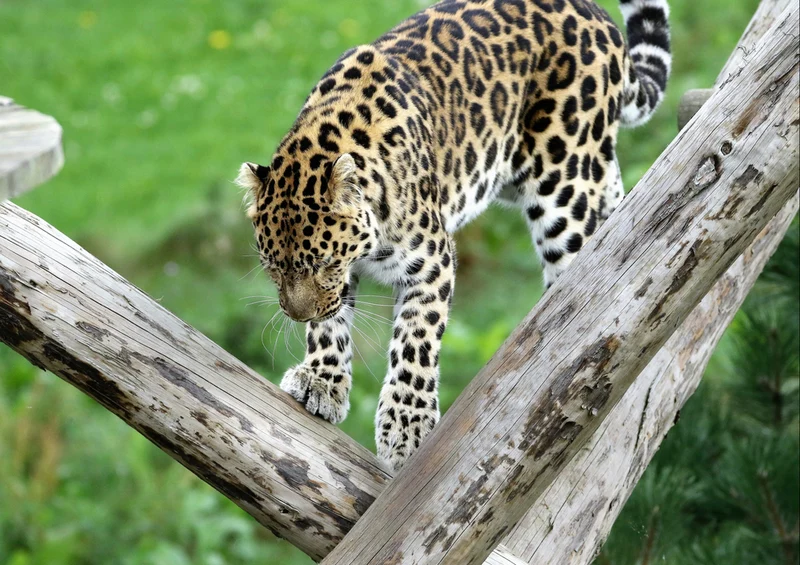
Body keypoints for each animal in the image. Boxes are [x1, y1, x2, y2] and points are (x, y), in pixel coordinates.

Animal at [237, 0, 671, 470]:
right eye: (272, 269)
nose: (297, 315)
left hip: (564, 185)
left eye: (323, 263)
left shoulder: (431, 261)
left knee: (582, 266)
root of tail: (598, 16)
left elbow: (415, 340)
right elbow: (330, 324)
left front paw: (405, 426)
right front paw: (321, 381)